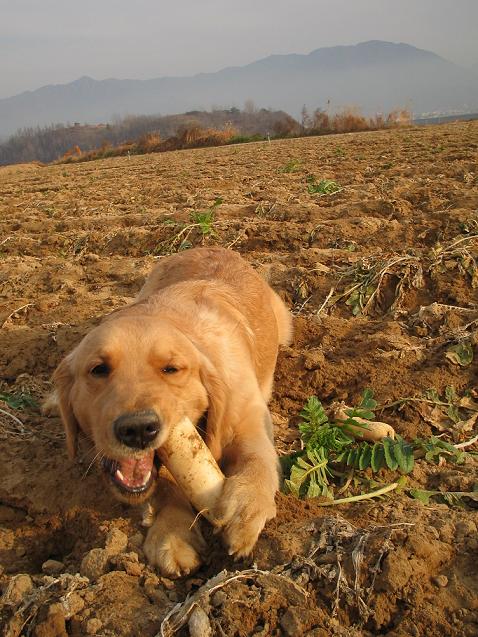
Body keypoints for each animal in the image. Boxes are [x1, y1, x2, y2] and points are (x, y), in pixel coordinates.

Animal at [52, 247, 292, 576]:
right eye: (98, 369)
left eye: (172, 369)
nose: (138, 429)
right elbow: (164, 485)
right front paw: (173, 534)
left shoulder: (249, 416)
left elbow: (258, 459)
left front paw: (243, 511)